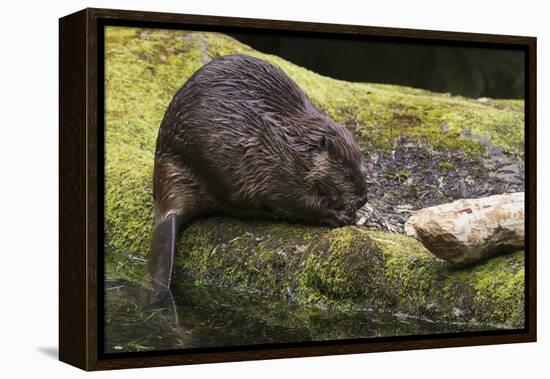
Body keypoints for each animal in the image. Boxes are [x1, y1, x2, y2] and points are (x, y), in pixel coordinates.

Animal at [149, 54, 368, 290]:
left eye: (362, 168)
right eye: (347, 175)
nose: (363, 199)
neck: (293, 143)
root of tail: (167, 213)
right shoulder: (272, 165)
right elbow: (296, 201)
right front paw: (341, 215)